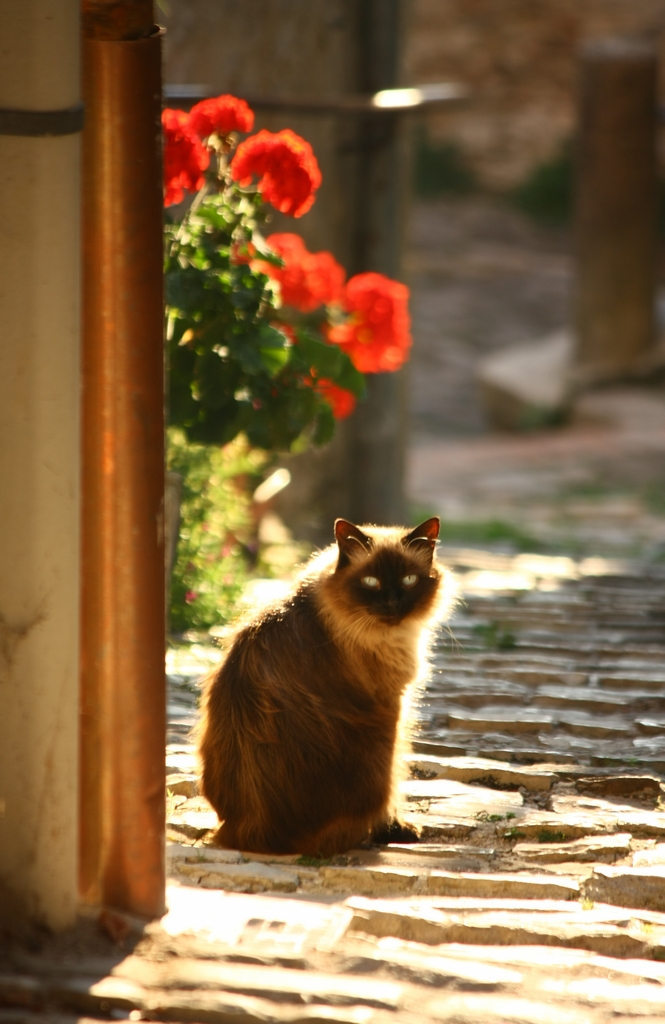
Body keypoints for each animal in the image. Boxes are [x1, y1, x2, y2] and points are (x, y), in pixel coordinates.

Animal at [196, 512, 452, 856]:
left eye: (409, 580)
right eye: (371, 582)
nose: (392, 605)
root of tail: (253, 835)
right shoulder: (394, 706)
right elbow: (395, 784)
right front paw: (395, 829)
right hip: (379, 738)